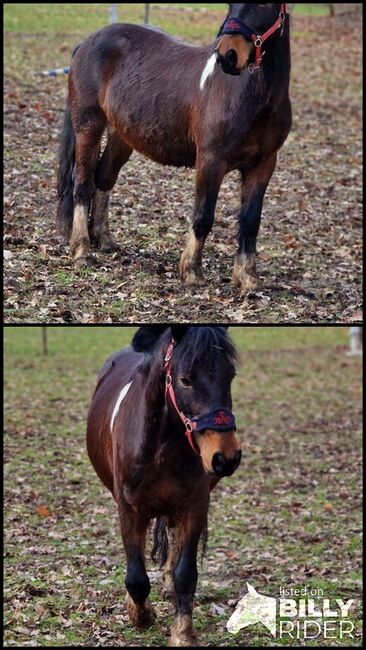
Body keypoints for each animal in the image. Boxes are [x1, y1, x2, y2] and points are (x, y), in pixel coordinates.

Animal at [57, 4, 292, 294]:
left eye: (264, 5)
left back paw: (105, 239)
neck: (253, 98)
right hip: (88, 126)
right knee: (82, 184)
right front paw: (192, 272)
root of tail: (87, 42)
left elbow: (250, 221)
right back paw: (82, 250)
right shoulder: (211, 161)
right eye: (230, 5)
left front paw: (248, 278)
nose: (228, 55)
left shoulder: (263, 165)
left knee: (104, 178)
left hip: (121, 135)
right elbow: (203, 216)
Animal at [85, 326, 240, 640]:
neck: (159, 447)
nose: (226, 456)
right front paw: (141, 614)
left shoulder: (196, 504)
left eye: (230, 375)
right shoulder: (128, 508)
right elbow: (136, 576)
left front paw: (183, 633)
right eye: (185, 379)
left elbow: (185, 574)